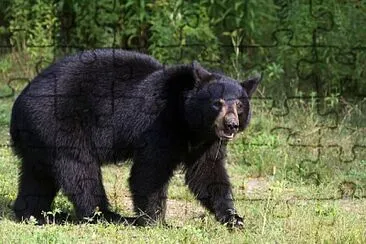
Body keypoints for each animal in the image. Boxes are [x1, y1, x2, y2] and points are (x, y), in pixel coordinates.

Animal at [8, 48, 260, 228]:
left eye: (239, 105)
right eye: (217, 103)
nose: (231, 125)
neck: (191, 125)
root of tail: (18, 105)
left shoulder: (208, 142)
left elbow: (207, 173)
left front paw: (233, 217)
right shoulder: (160, 125)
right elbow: (149, 171)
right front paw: (155, 221)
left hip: (39, 136)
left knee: (37, 177)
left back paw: (32, 213)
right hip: (59, 124)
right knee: (80, 170)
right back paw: (107, 216)